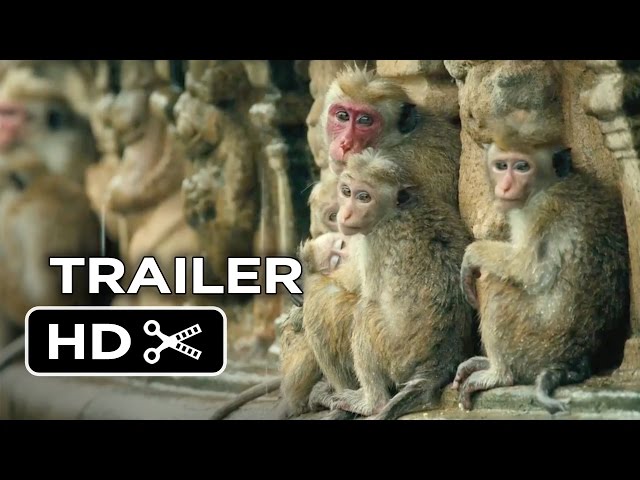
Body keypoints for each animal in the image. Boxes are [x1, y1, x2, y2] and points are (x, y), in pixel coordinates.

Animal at [324, 149, 475, 420]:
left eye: (364, 197)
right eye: (346, 191)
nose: (345, 214)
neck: (397, 210)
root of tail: (437, 364)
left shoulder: (373, 241)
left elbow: (368, 295)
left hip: (396, 354)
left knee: (365, 312)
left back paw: (372, 403)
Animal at [453, 127, 630, 415]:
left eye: (522, 166)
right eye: (501, 166)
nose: (505, 186)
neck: (549, 184)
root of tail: (576, 359)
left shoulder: (539, 210)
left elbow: (530, 270)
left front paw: (472, 254)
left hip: (535, 344)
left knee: (494, 283)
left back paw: (499, 374)